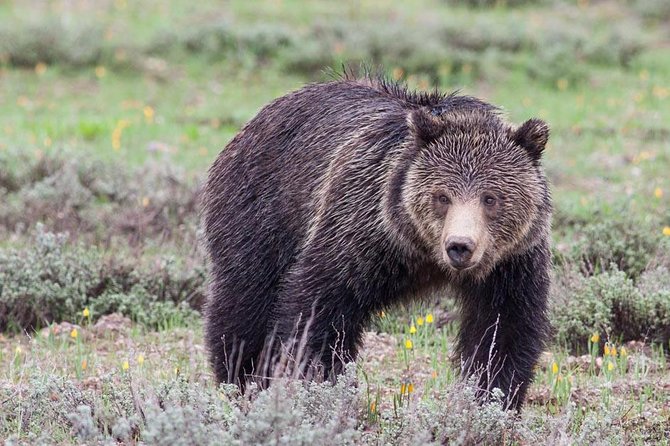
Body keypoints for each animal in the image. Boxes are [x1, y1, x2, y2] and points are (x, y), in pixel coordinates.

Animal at [202, 75, 552, 410]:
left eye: (491, 198)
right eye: (442, 196)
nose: (459, 246)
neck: (423, 256)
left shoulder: (511, 262)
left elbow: (503, 329)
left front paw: (493, 399)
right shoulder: (361, 228)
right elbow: (318, 308)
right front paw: (321, 386)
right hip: (262, 211)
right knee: (246, 300)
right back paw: (242, 379)